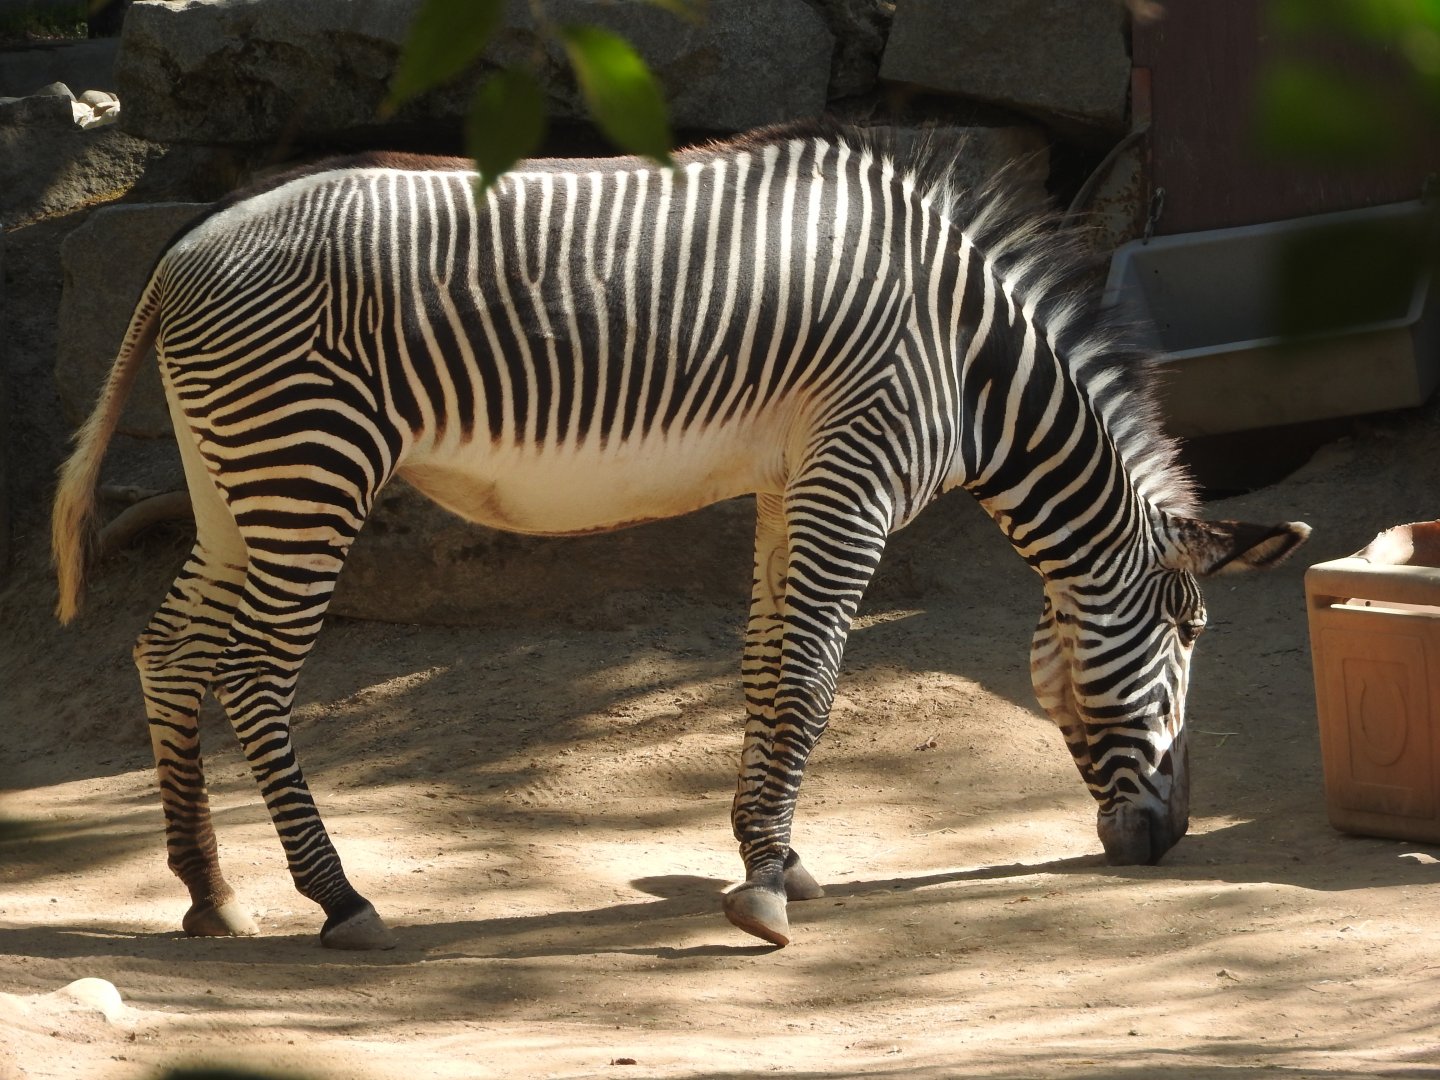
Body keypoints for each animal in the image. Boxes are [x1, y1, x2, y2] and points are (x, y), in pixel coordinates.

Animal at [52, 122, 1310, 950]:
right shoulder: (855, 469)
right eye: (1191, 637)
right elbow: (809, 676)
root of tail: (182, 252)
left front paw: (778, 857)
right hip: (309, 465)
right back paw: (340, 899)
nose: (1170, 842)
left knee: (168, 651)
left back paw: (208, 891)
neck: (970, 365)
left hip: (238, 480)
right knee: (254, 675)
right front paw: (762, 890)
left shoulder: (791, 480)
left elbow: (763, 667)